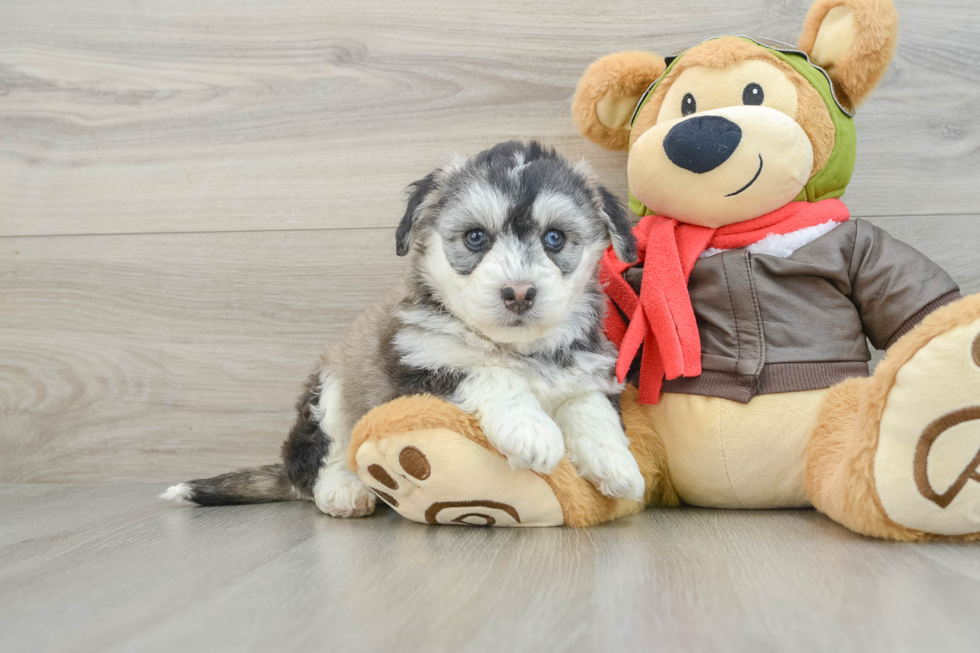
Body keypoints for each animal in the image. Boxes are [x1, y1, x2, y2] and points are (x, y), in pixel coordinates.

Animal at [165, 141, 648, 516]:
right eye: (475, 237)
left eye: (555, 239)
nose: (518, 293)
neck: (513, 348)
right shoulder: (418, 370)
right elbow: (488, 374)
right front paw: (530, 429)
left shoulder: (582, 369)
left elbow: (589, 407)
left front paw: (616, 463)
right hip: (332, 389)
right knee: (320, 459)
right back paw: (346, 491)